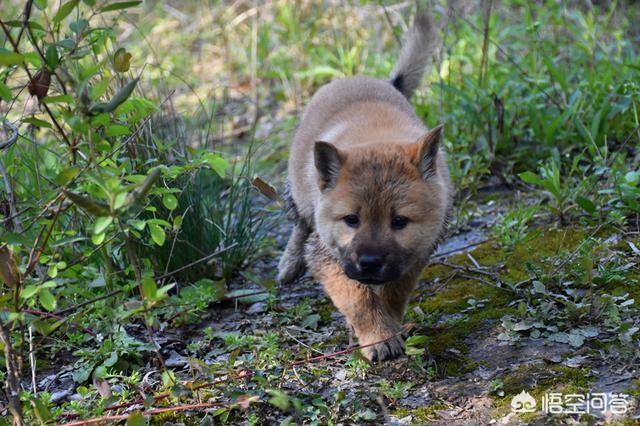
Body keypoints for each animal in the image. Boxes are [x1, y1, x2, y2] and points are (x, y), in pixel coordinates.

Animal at [278, 8, 452, 362]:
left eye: (399, 221)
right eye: (351, 220)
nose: (369, 263)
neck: (377, 139)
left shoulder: (413, 254)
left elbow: (394, 292)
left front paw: (390, 326)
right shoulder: (331, 257)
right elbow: (358, 298)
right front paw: (377, 336)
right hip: (301, 194)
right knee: (300, 223)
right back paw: (289, 263)